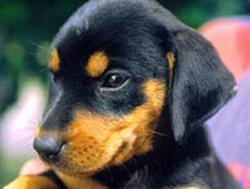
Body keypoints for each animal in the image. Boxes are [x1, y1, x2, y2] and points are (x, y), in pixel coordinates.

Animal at [5, 0, 238, 189]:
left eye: (114, 79)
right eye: (54, 76)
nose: (42, 148)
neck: (133, 169)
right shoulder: (71, 178)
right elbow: (37, 177)